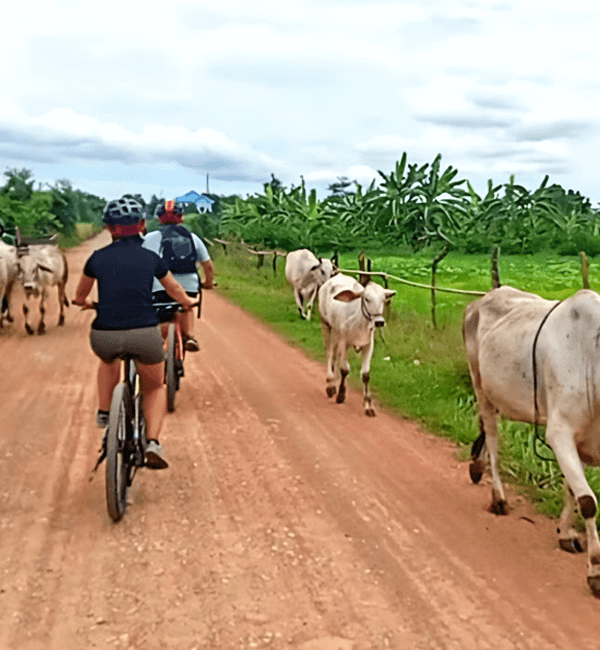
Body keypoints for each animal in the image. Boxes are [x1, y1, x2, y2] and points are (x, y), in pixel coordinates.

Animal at [316, 272, 396, 416]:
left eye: (383, 299)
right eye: (366, 299)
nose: (379, 322)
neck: (359, 322)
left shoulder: (368, 345)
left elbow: (365, 374)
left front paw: (368, 405)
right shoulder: (344, 343)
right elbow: (345, 369)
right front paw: (341, 395)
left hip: (336, 332)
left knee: (334, 355)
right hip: (326, 324)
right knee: (330, 353)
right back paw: (330, 384)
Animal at [462, 286, 600, 596]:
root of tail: (480, 301)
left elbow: (572, 491)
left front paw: (565, 534)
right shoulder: (559, 433)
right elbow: (588, 501)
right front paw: (596, 571)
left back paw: (477, 465)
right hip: (480, 386)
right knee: (493, 440)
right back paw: (498, 497)